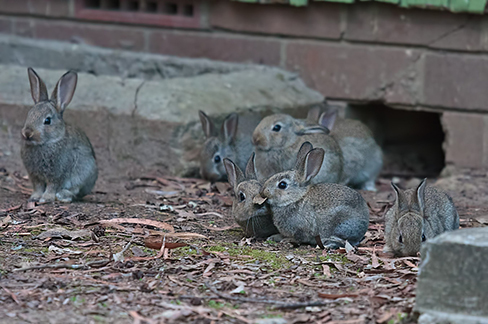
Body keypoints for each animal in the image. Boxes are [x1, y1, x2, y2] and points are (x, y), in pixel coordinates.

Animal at [20, 68, 98, 202]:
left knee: (75, 191)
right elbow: (38, 186)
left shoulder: (58, 173)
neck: (47, 142)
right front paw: (35, 197)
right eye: (29, 114)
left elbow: (52, 186)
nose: (27, 133)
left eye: (47, 120)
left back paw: (63, 196)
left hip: (84, 172)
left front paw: (46, 198)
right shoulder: (35, 176)